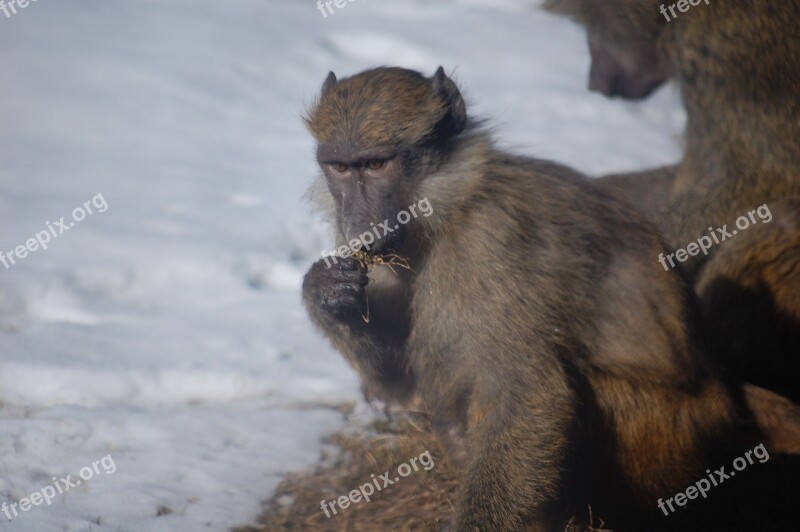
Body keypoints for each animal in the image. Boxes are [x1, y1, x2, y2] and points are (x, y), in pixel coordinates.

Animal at [300, 67, 792, 532]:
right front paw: (326, 293)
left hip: (669, 438)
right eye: (339, 168)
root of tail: (725, 390)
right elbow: (397, 382)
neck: (448, 208)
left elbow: (525, 394)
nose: (356, 221)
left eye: (376, 165)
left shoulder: (490, 245)